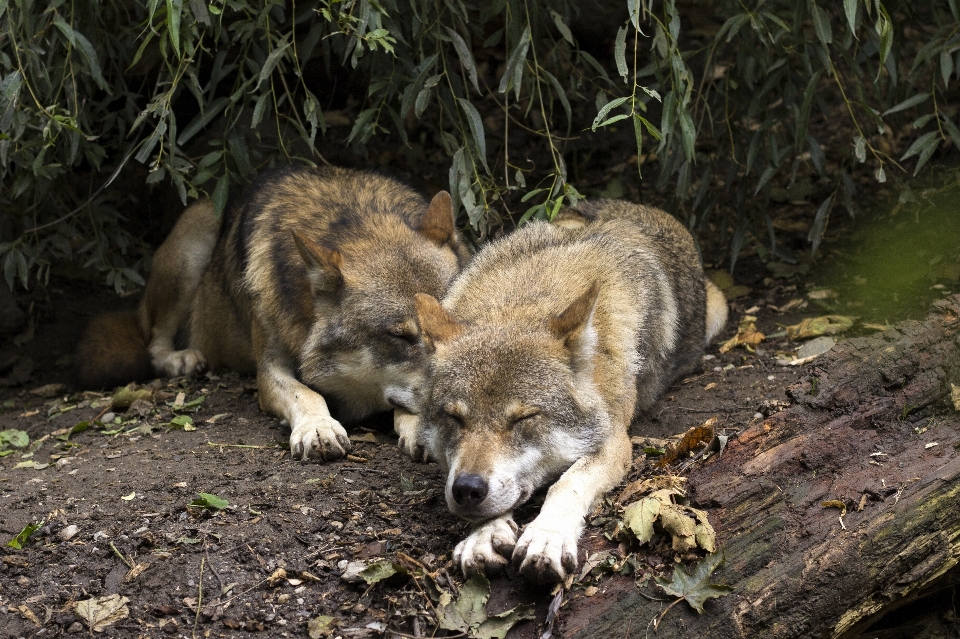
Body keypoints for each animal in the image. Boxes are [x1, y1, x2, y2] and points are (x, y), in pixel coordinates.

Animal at [78, 165, 468, 460]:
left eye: (455, 326)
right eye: (400, 337)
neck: (351, 220)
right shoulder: (268, 371)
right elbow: (306, 394)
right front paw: (318, 428)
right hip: (198, 230)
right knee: (153, 343)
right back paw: (181, 359)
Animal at [406, 200, 728, 584]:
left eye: (524, 418)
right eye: (454, 417)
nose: (467, 489)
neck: (525, 298)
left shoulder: (615, 442)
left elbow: (566, 483)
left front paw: (547, 536)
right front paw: (482, 536)